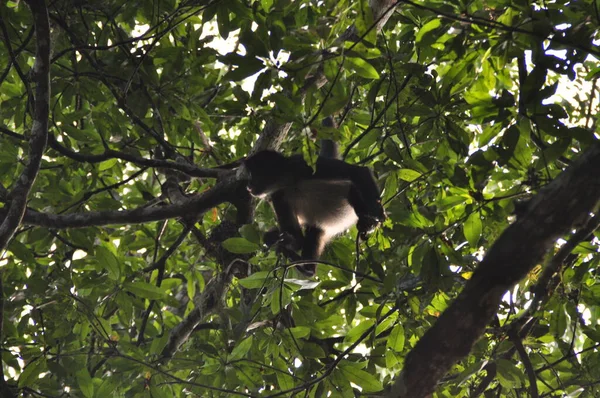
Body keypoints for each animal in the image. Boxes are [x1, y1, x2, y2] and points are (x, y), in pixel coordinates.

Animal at [243, 141, 384, 276]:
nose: (248, 186)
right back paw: (307, 268)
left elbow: (358, 171)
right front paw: (281, 239)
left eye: (252, 174)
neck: (289, 183)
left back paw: (368, 222)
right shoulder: (278, 195)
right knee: (314, 231)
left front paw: (378, 215)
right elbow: (298, 239)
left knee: (353, 192)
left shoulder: (301, 164)